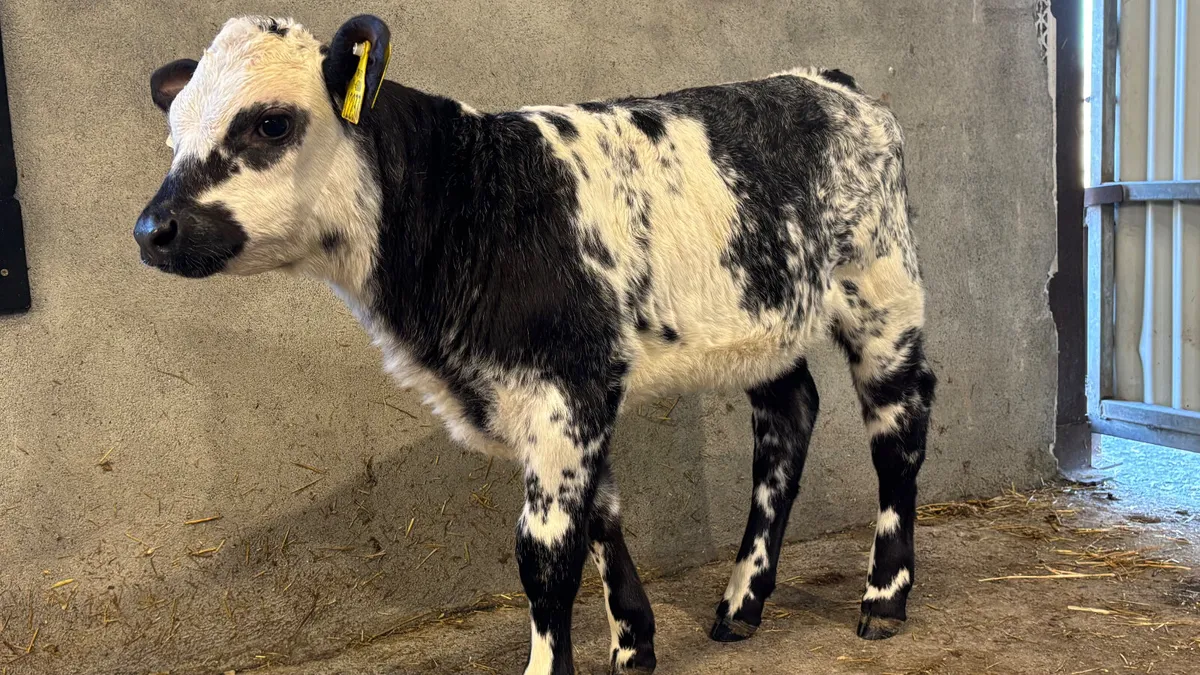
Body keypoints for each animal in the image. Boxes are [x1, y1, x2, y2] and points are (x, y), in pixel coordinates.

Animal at [135, 14, 936, 675]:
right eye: (173, 137)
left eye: (271, 123)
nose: (151, 230)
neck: (467, 202)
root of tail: (823, 82)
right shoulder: (572, 390)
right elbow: (600, 513)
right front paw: (633, 644)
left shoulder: (565, 386)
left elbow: (545, 550)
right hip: (764, 321)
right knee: (788, 418)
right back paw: (741, 603)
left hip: (882, 291)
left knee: (899, 425)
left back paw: (883, 597)